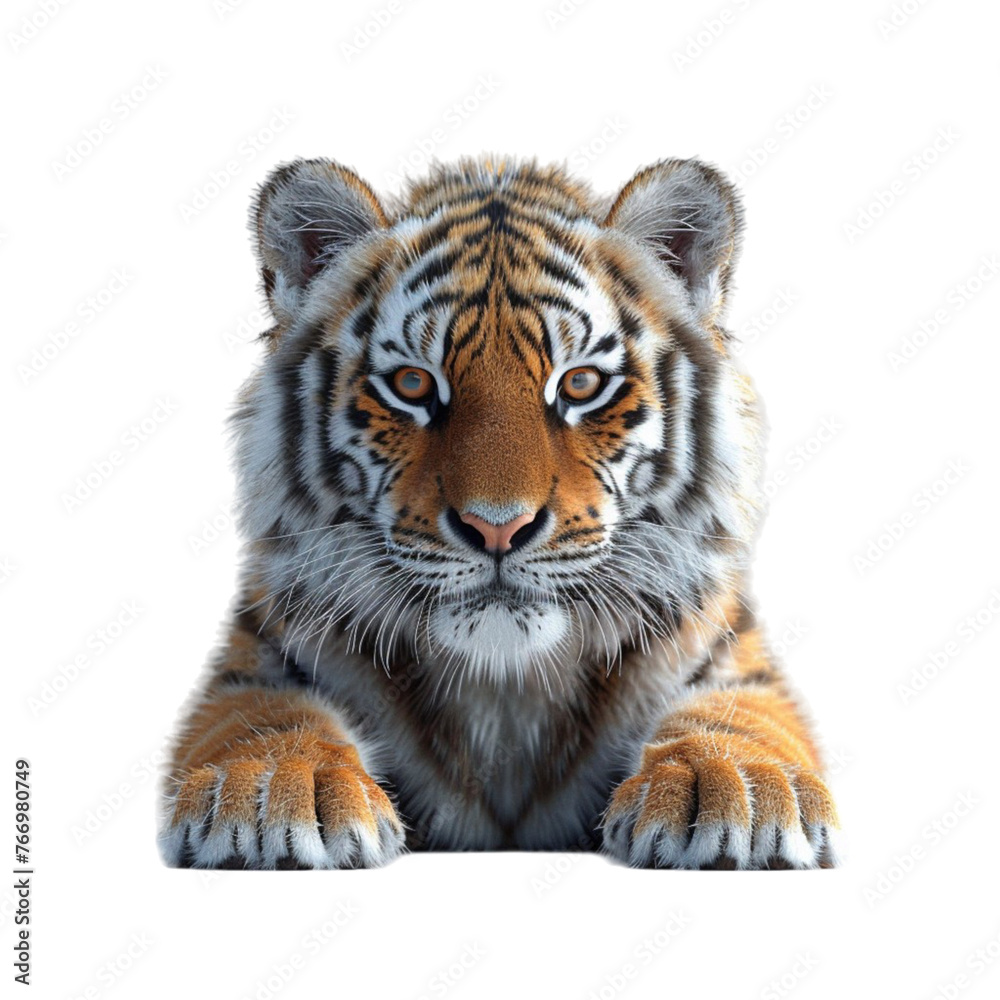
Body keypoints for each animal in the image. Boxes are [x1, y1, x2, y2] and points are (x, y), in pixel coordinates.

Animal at [158, 155, 841, 870]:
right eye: (412, 384)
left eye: (579, 384)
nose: (497, 527)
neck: (504, 690)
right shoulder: (262, 648)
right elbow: (265, 714)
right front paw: (274, 792)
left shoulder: (725, 647)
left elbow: (735, 714)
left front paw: (731, 788)